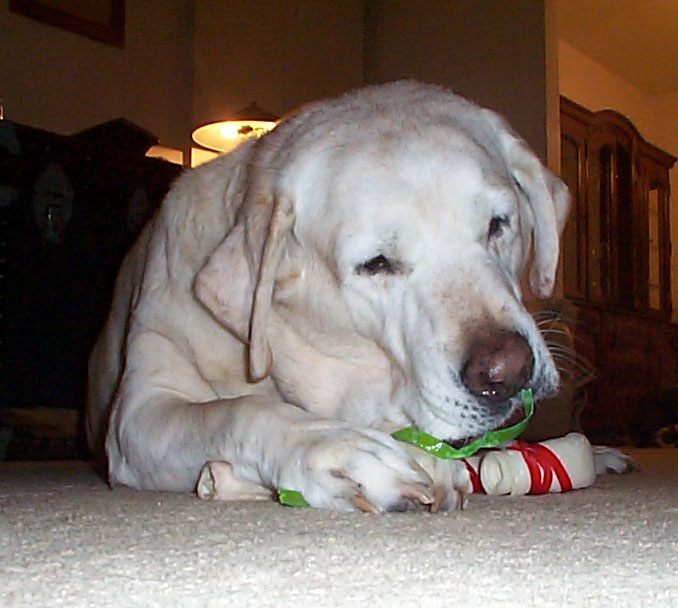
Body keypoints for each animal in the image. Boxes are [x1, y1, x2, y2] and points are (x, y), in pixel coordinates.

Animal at [87, 81, 575, 512]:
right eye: (376, 263)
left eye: (498, 224)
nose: (507, 371)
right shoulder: (137, 415)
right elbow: (234, 412)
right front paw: (337, 450)